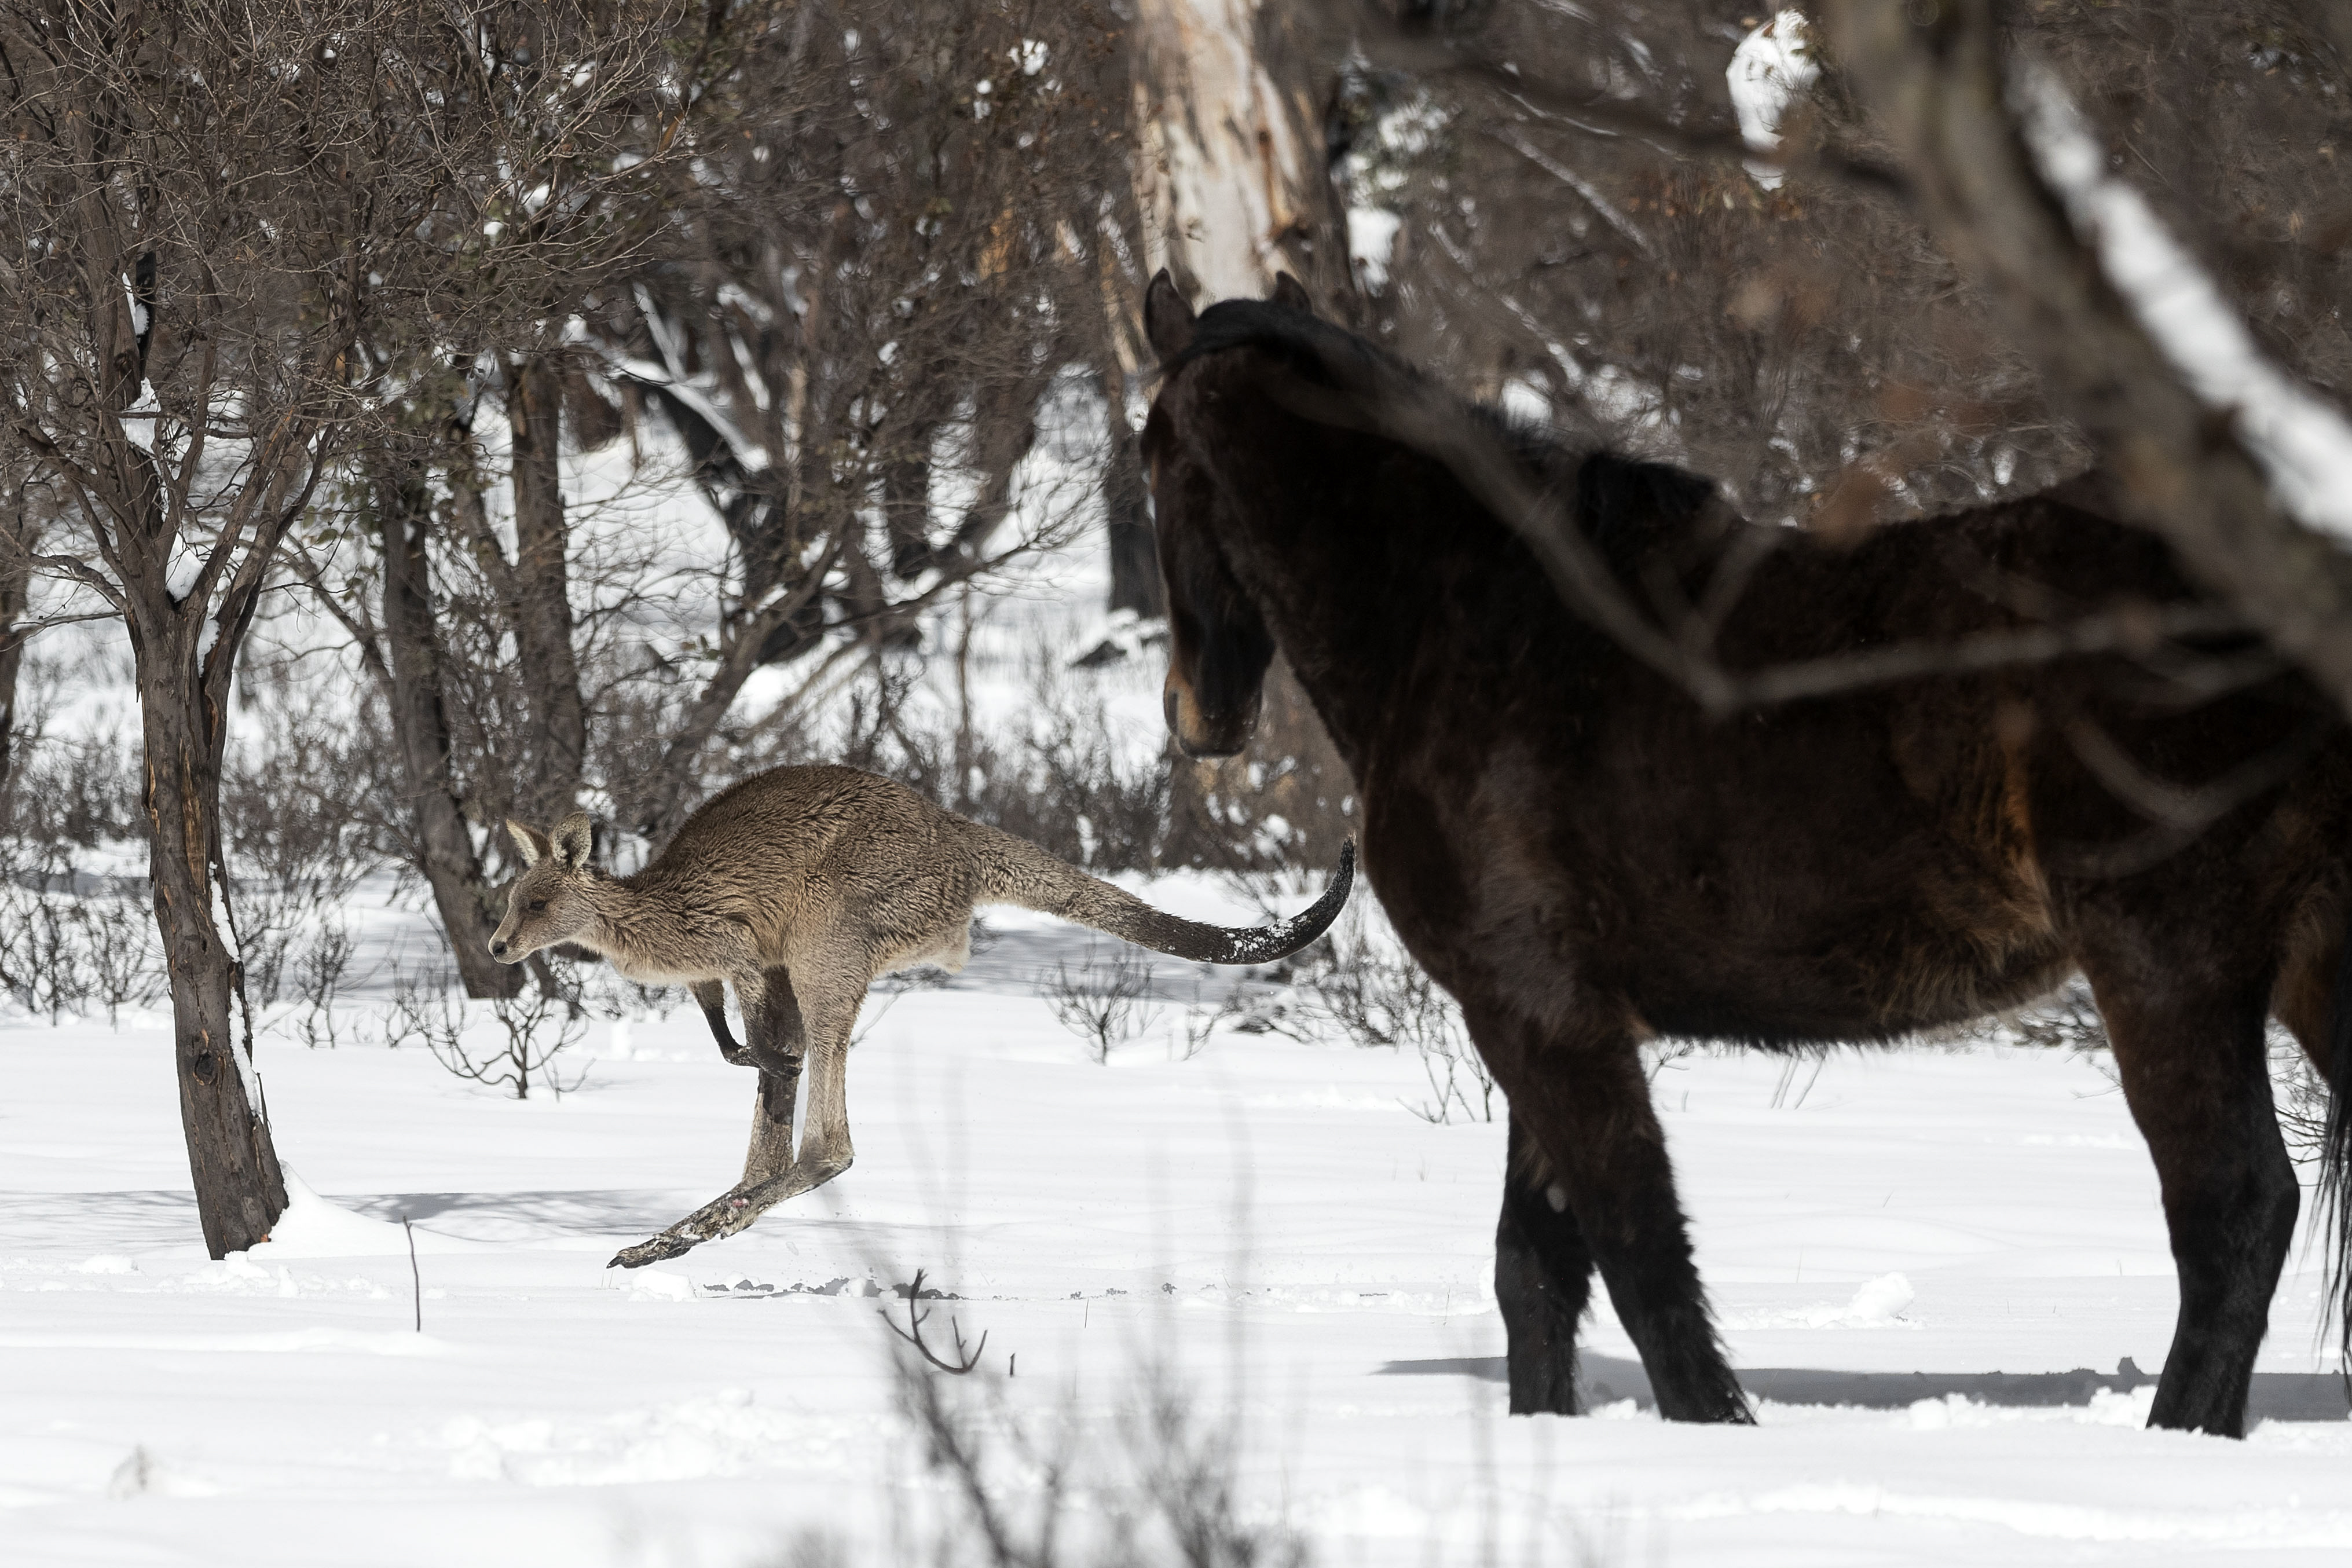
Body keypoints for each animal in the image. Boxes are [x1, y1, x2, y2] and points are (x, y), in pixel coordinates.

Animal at [1148, 272, 2351, 1438]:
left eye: (1149, 459)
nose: (1198, 715)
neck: (1468, 625)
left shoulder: (1537, 1014)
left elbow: (1638, 1252)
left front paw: (1710, 1429)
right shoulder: (1550, 1010)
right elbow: (1535, 1271)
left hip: (2167, 965)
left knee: (2234, 1210)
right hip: (2301, 967)